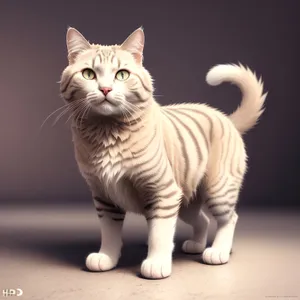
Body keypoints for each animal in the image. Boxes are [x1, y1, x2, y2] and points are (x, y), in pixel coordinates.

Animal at [59, 25, 268, 278]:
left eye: (122, 74)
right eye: (89, 74)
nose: (105, 89)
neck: (106, 132)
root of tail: (227, 118)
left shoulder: (162, 191)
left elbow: (159, 233)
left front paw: (156, 264)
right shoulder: (104, 197)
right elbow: (109, 233)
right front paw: (106, 258)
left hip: (218, 190)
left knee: (229, 219)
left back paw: (218, 251)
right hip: (186, 201)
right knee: (203, 221)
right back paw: (196, 246)